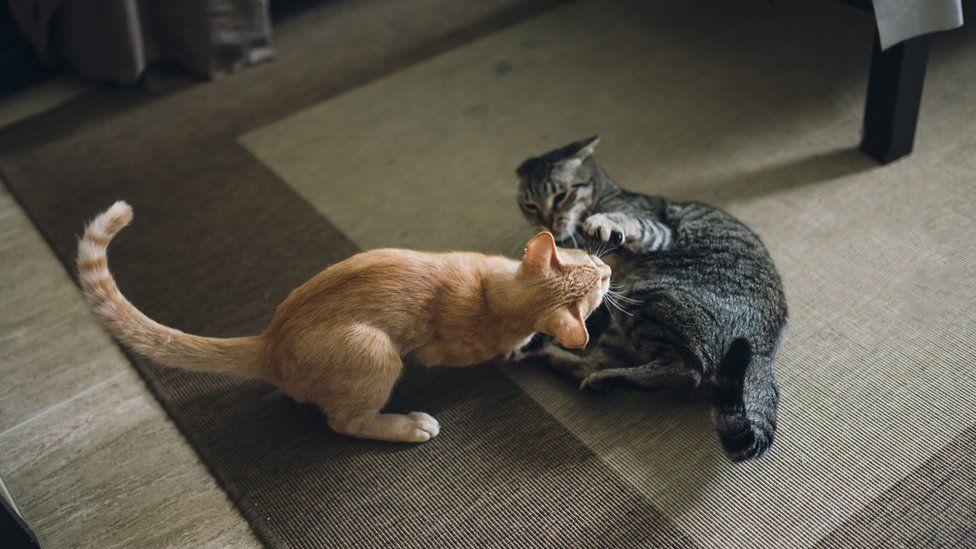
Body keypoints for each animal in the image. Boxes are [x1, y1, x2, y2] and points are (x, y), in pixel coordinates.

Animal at [78, 201, 608, 440]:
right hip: (375, 351)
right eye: (595, 279)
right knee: (344, 422)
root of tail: (269, 340)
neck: (490, 297)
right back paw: (407, 425)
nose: (606, 271)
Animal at [516, 135, 788, 460]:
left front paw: (604, 223)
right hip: (624, 319)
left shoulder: (656, 232)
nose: (549, 223)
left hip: (646, 296)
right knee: (597, 362)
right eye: (530, 205)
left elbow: (633, 223)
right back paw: (563, 361)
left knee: (686, 370)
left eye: (561, 195)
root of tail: (762, 352)